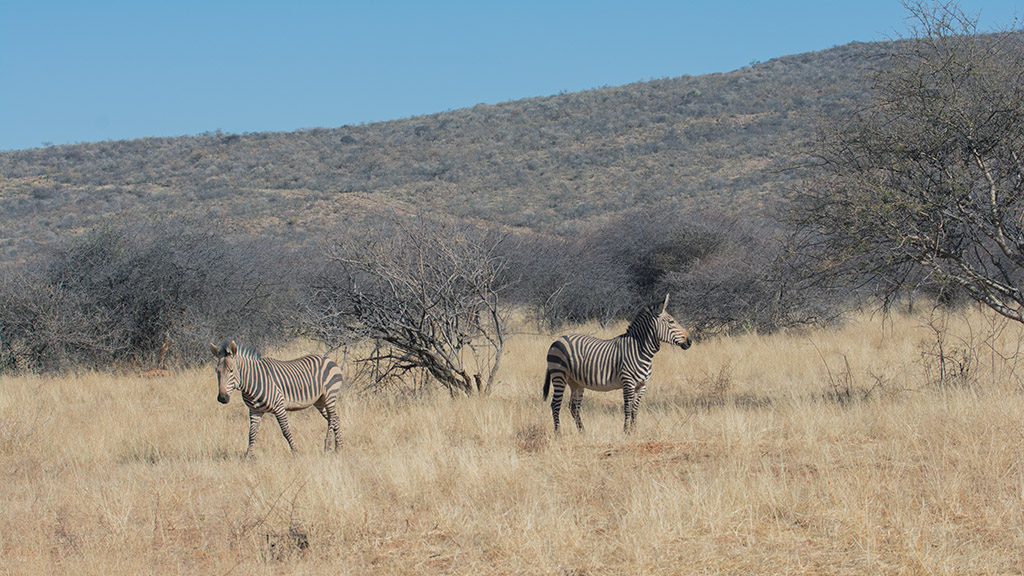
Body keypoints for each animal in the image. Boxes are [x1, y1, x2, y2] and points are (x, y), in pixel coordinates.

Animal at [209, 338, 346, 455]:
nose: (222, 398)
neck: (253, 382)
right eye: (217, 371)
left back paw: (327, 446)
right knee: (336, 418)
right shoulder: (254, 410)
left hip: (329, 395)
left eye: (231, 371)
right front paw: (249, 456)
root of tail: (328, 360)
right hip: (319, 401)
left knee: (332, 419)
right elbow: (252, 433)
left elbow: (285, 431)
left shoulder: (279, 406)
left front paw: (295, 452)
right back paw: (339, 448)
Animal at [540, 293, 692, 432]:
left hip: (575, 382)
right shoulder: (628, 382)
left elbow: (635, 409)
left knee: (573, 407)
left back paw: (582, 432)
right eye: (671, 322)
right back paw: (558, 433)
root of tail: (558, 339)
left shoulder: (642, 385)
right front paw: (626, 432)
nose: (690, 341)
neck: (639, 350)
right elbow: (627, 408)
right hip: (559, 375)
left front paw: (634, 431)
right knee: (555, 405)